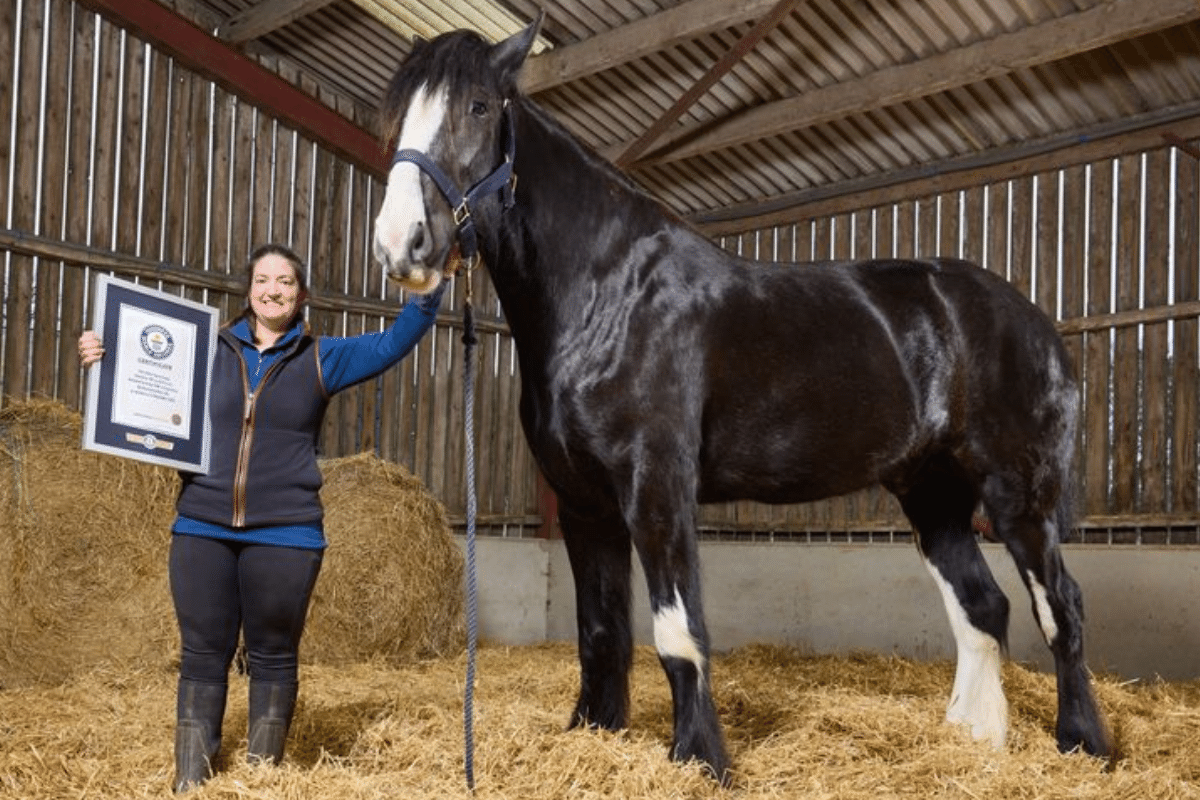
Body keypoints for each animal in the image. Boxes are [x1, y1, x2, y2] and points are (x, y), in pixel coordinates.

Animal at [371, 17, 1113, 783]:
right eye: (394, 120)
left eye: (480, 107)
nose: (402, 246)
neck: (608, 293)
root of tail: (1034, 321)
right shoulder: (583, 503)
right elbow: (600, 629)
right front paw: (594, 733)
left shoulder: (657, 487)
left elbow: (678, 631)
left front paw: (700, 758)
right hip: (932, 494)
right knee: (982, 606)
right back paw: (974, 739)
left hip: (1018, 496)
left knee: (1061, 607)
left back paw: (1083, 743)